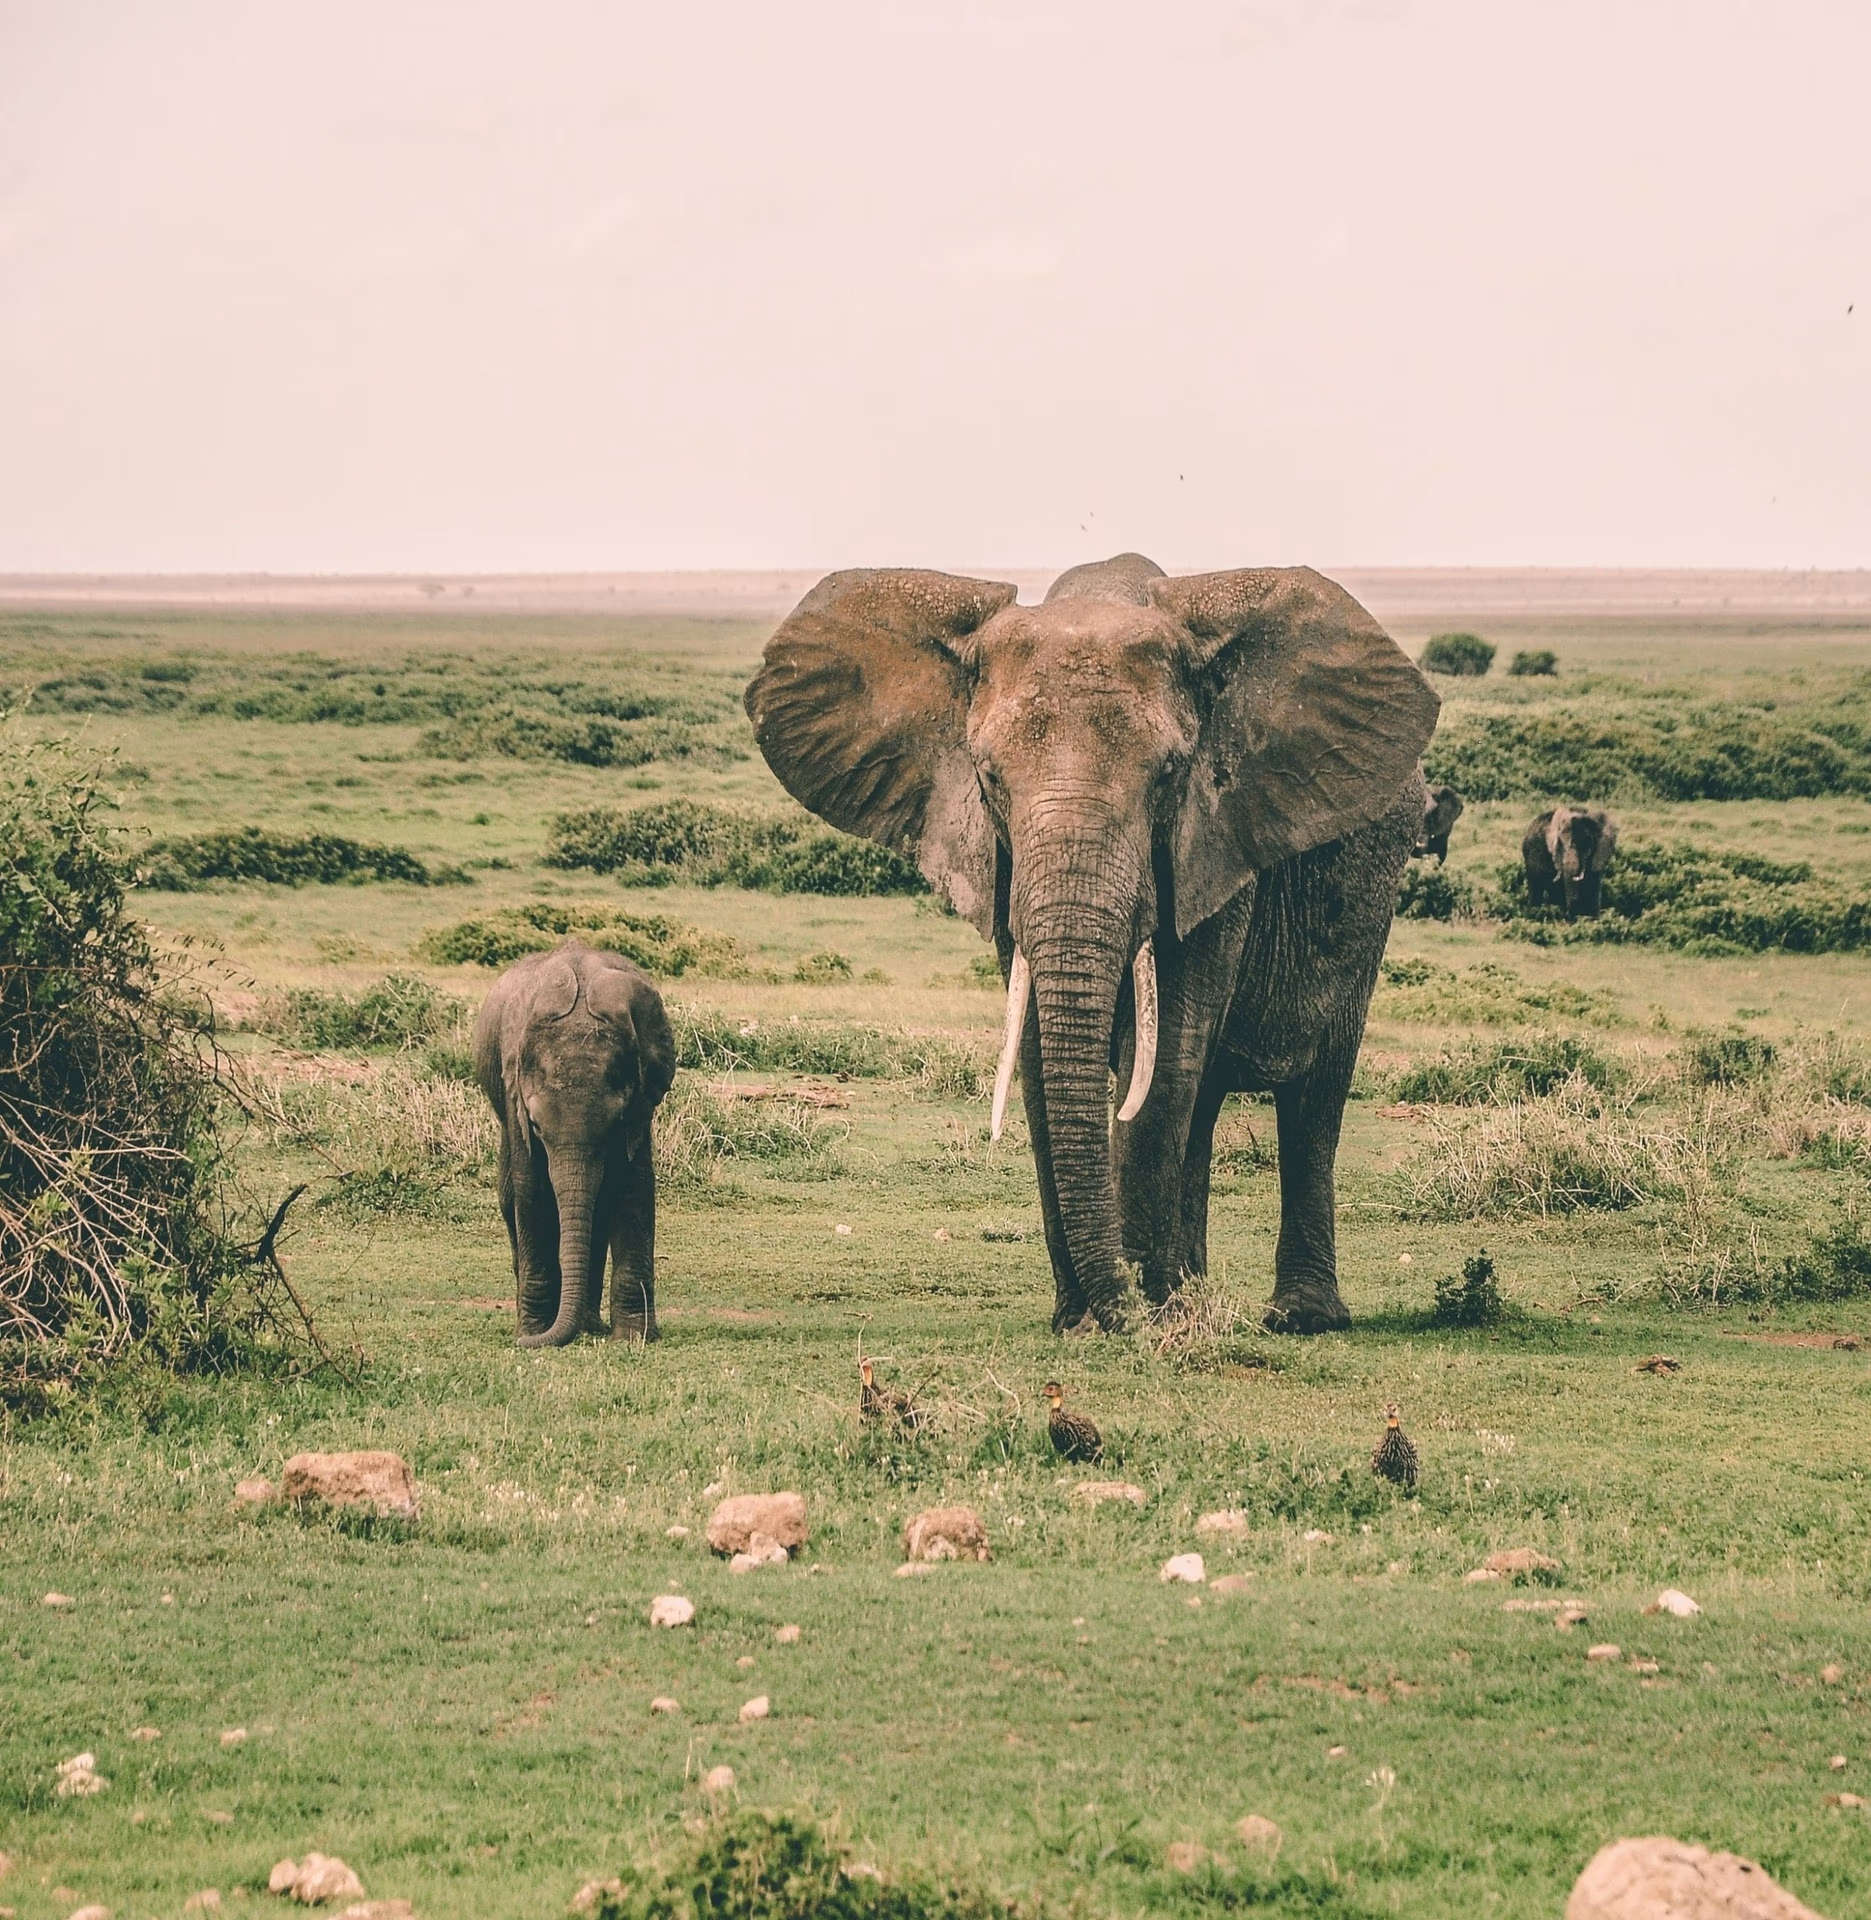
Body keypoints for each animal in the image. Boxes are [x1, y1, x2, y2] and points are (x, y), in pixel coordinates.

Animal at [473, 939, 675, 1347]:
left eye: (616, 1123)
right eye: (536, 1126)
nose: (520, 1344)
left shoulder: (640, 1100)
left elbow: (633, 1191)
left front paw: (633, 1338)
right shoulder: (514, 1091)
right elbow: (531, 1191)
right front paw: (533, 1332)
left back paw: (589, 1325)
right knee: (509, 1197)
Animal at [745, 553, 1440, 1335]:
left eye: (1169, 774)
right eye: (988, 777)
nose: (1110, 1309)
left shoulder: (1213, 845)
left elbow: (1163, 1060)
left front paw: (1135, 1321)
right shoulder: (1005, 873)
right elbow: (1039, 1057)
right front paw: (1086, 1320)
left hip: (1370, 900)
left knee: (1311, 1096)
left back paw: (1295, 1316)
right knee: (1204, 1103)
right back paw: (1188, 1296)